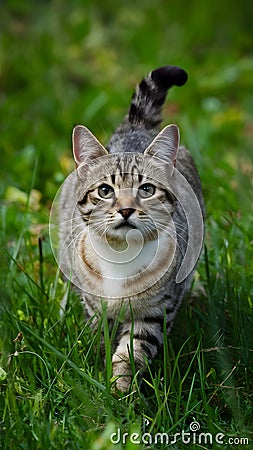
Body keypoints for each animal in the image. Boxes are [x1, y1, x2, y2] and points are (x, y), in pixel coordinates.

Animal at [58, 65, 205, 392]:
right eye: (105, 190)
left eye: (147, 189)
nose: (125, 210)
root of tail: (137, 129)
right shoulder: (96, 306)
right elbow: (101, 338)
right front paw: (100, 377)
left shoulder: (155, 312)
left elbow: (131, 352)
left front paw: (121, 392)